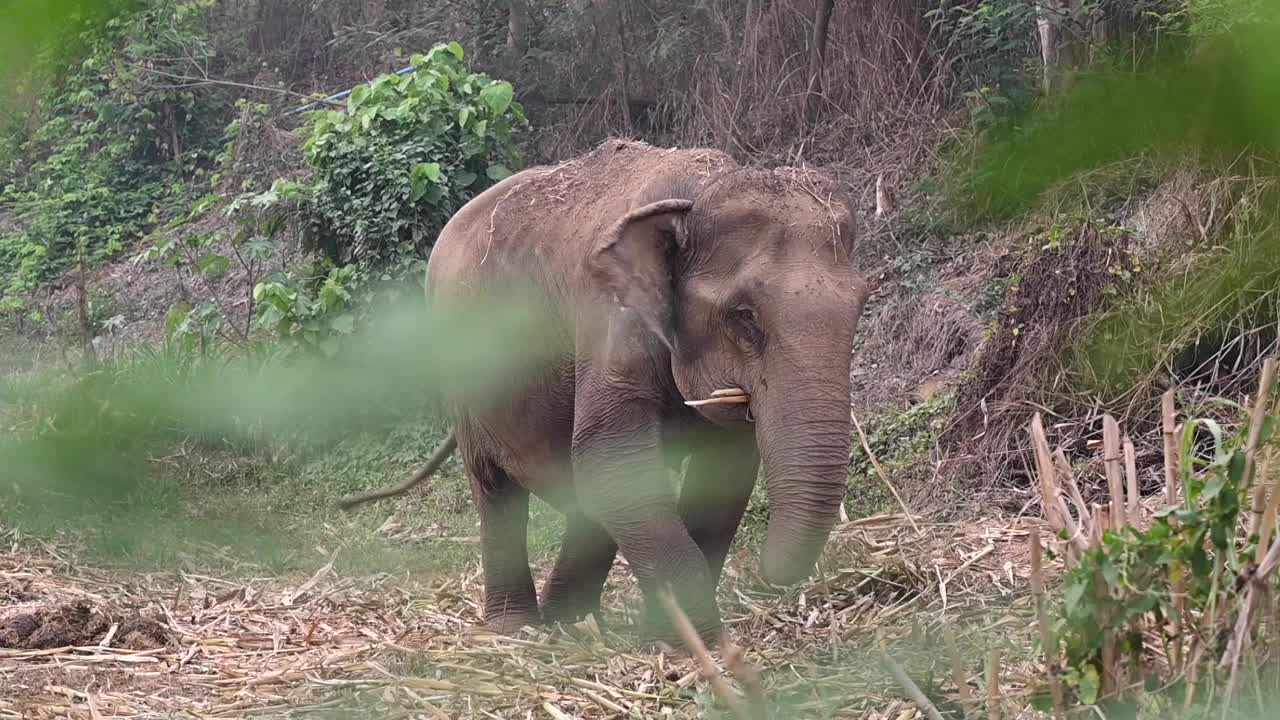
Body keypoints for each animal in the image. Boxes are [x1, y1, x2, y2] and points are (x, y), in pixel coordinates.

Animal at [358, 137, 870, 640]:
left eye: (862, 304)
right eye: (744, 316)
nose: (769, 577)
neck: (697, 191)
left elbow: (714, 472)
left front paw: (663, 634)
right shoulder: (608, 318)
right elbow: (609, 455)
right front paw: (704, 644)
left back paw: (569, 622)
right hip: (463, 377)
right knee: (498, 490)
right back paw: (517, 627)